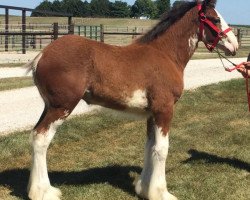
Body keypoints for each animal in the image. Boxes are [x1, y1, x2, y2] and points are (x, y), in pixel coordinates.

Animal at [25, 0, 238, 199]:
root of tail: (41, 56)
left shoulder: (152, 114)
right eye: (215, 19)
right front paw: (162, 193)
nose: (234, 45)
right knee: (41, 138)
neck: (165, 54)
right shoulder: (164, 110)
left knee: (35, 134)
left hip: (49, 106)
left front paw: (145, 189)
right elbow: (162, 149)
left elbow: (150, 147)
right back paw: (43, 192)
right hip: (61, 107)